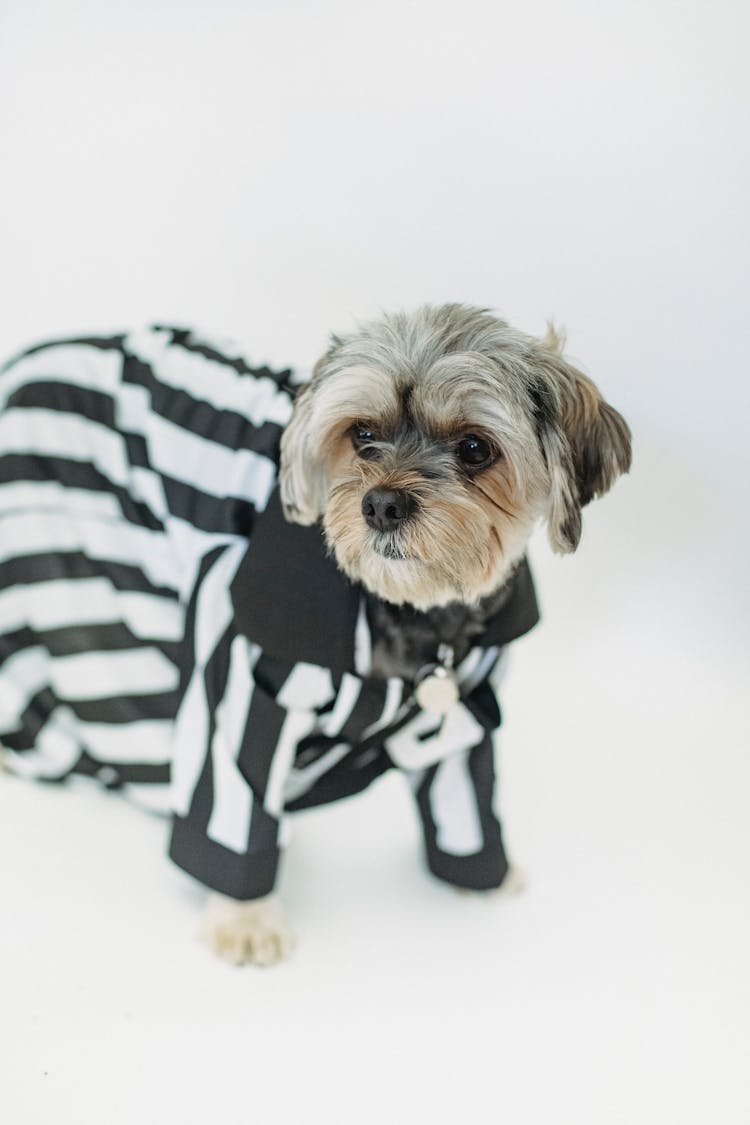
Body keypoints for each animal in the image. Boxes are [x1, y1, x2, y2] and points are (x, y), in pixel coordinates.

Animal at [0, 301, 634, 967]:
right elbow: (232, 797)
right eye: (362, 434)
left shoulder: (464, 709)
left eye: (474, 448)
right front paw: (245, 919)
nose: (381, 505)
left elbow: (464, 796)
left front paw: (482, 875)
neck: (407, 610)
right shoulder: (241, 677)